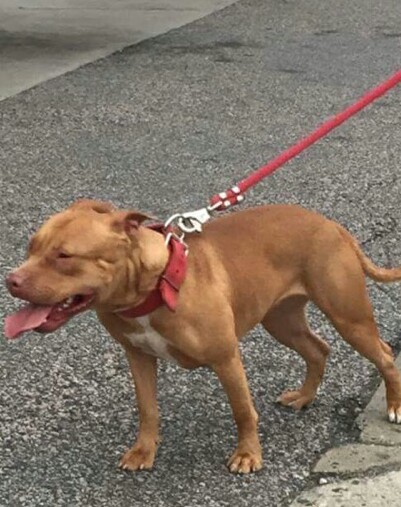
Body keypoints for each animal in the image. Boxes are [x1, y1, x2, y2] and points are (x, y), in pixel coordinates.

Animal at [5, 199, 401, 474]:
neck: (155, 285)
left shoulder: (226, 357)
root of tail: (331, 225)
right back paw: (304, 397)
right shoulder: (138, 357)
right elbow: (147, 408)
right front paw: (144, 451)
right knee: (318, 349)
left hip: (348, 317)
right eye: (31, 247)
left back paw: (394, 407)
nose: (11, 279)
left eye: (63, 255)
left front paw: (247, 455)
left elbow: (242, 409)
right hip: (281, 320)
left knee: (384, 354)